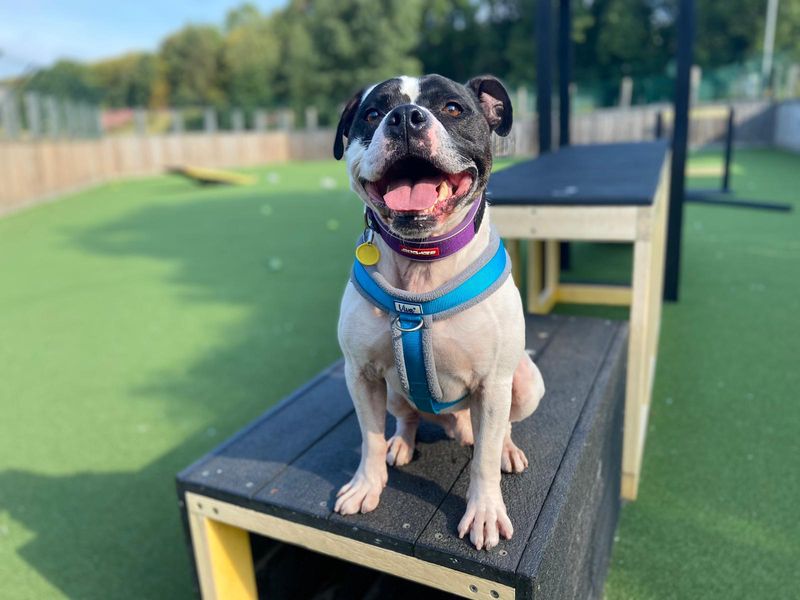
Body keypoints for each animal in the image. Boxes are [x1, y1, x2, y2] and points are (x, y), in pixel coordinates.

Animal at [332, 74, 544, 548]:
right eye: (372, 113)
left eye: (452, 108)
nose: (404, 118)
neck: (422, 264)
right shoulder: (360, 375)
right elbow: (368, 438)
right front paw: (366, 485)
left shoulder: (493, 384)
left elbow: (483, 461)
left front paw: (484, 512)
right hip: (394, 391)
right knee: (407, 417)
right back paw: (402, 443)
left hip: (524, 382)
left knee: (499, 430)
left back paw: (505, 448)